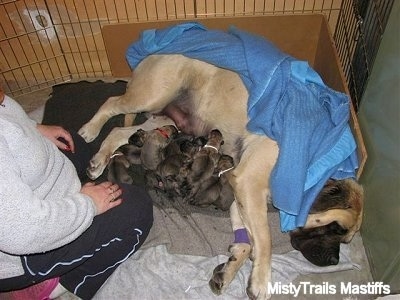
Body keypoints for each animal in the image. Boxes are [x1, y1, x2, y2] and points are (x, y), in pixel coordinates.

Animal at [77, 54, 362, 300]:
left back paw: (98, 161)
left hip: (161, 123)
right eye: (335, 228)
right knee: (113, 102)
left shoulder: (240, 195)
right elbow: (266, 239)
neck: (317, 162)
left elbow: (247, 241)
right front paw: (262, 280)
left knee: (119, 132)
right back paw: (89, 129)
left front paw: (232, 267)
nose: (335, 260)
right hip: (152, 95)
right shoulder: (249, 183)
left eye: (346, 238)